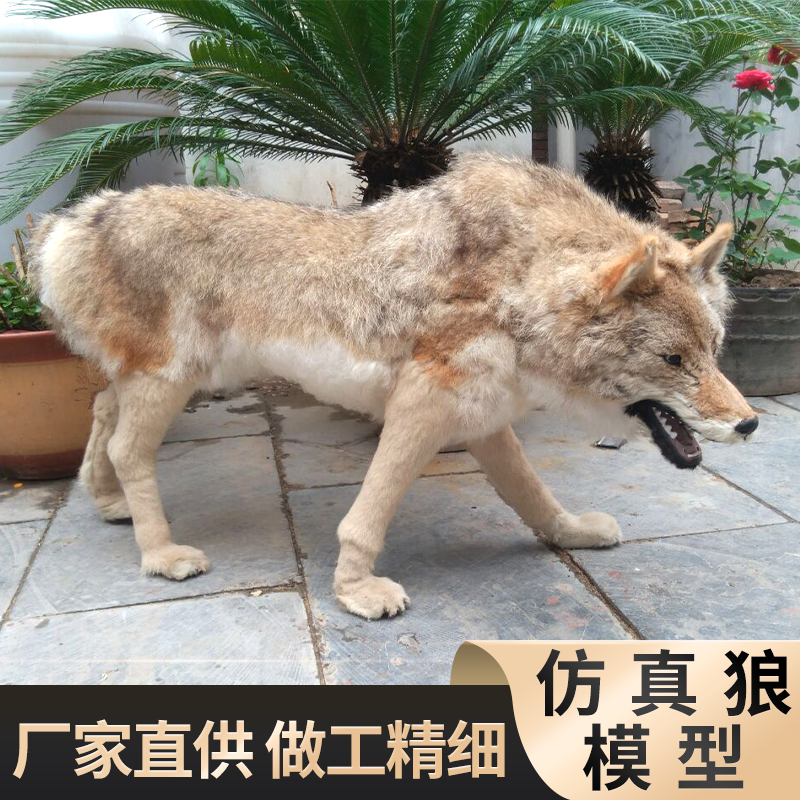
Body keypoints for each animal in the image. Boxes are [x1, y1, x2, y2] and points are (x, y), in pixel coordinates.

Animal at [29, 154, 757, 619]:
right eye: (672, 360)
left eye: (715, 350)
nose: (749, 424)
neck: (519, 289)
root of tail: (81, 217)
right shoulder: (423, 406)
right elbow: (368, 515)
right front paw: (356, 592)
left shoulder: (484, 418)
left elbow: (535, 498)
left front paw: (571, 532)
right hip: (173, 382)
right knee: (127, 447)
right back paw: (159, 554)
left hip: (167, 381)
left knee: (102, 412)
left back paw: (110, 504)